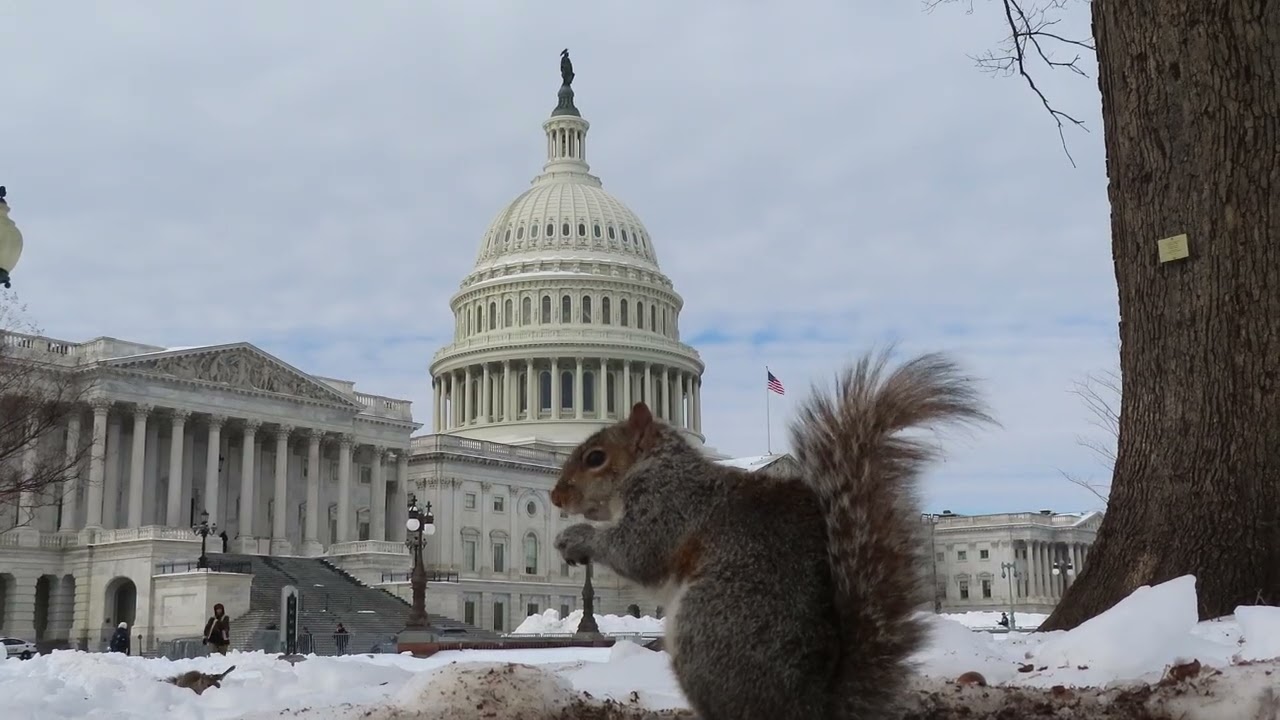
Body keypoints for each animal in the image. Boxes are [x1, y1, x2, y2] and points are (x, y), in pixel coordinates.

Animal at [551, 349, 994, 720]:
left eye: (595, 458)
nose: (556, 497)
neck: (657, 466)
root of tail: (815, 706)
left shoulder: (667, 506)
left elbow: (637, 552)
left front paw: (576, 537)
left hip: (707, 624)